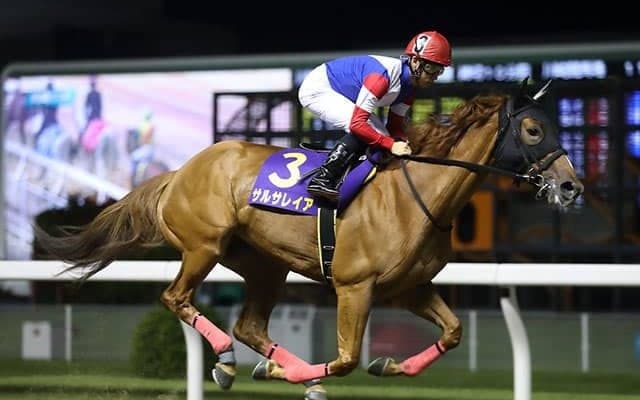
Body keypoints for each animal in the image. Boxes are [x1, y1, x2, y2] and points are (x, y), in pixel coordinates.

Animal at [34, 79, 584, 400]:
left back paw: (273, 368)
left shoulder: (409, 287)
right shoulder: (354, 285)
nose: (572, 186)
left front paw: (389, 365)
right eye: (533, 130)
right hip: (203, 246)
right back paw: (231, 362)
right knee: (177, 298)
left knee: (251, 326)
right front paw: (296, 375)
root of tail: (178, 172)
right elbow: (345, 359)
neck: (419, 192)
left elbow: (452, 333)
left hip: (264, 265)